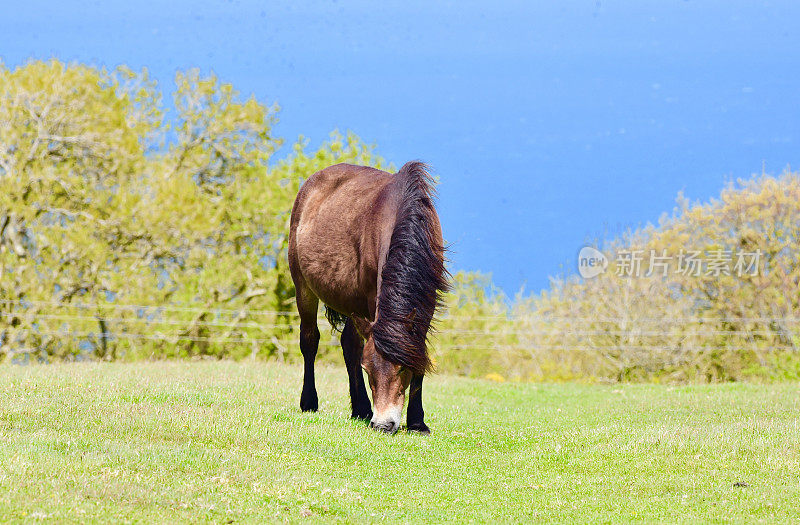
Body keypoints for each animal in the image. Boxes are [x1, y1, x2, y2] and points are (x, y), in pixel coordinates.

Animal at [290, 162, 450, 432]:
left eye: (402, 368)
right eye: (367, 369)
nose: (383, 425)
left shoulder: (426, 304)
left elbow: (418, 351)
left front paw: (417, 422)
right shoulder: (372, 299)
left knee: (349, 344)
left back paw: (360, 408)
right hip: (304, 288)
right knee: (310, 340)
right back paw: (310, 402)